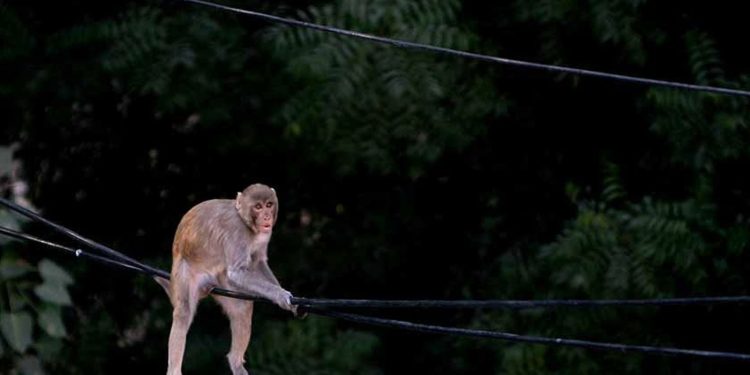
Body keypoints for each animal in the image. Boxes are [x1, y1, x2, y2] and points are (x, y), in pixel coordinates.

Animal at [156, 184, 296, 375]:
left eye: (269, 204)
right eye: (258, 207)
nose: (267, 216)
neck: (246, 223)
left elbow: (258, 262)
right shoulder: (237, 232)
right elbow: (237, 273)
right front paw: (281, 295)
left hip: (220, 279)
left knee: (241, 308)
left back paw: (235, 362)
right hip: (184, 273)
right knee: (183, 312)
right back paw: (174, 370)